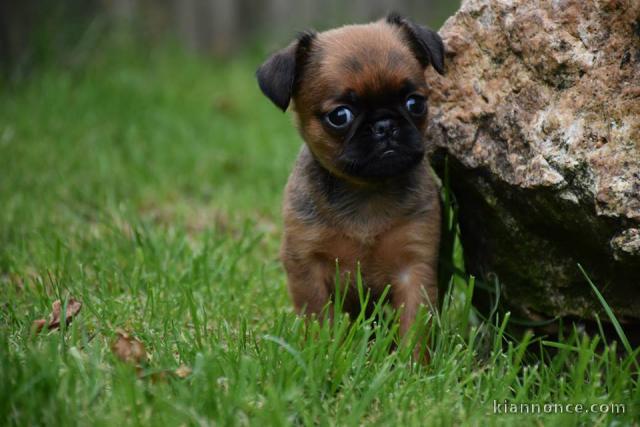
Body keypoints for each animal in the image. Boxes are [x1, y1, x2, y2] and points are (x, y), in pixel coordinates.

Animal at [258, 13, 442, 354]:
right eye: (340, 116)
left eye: (415, 104)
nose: (385, 125)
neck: (367, 191)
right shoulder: (307, 268)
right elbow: (319, 321)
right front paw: (324, 355)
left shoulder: (415, 268)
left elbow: (414, 327)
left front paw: (410, 364)